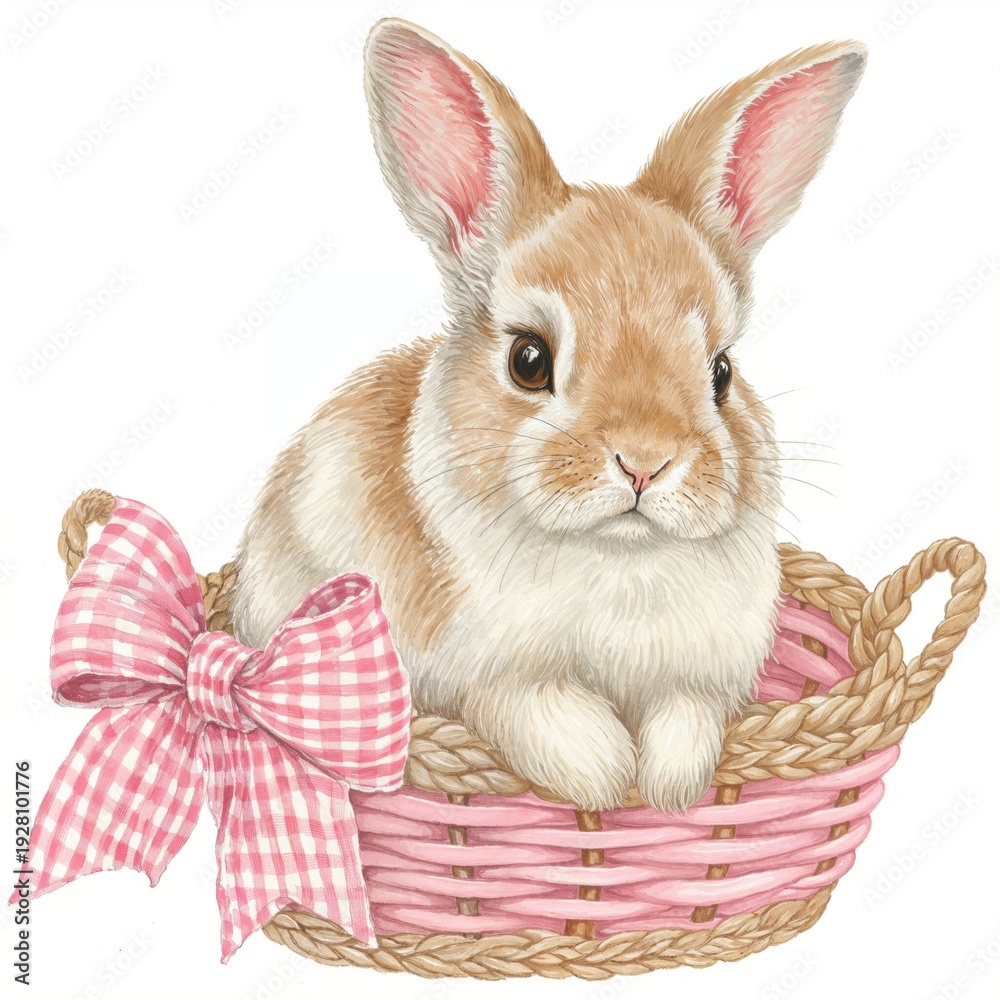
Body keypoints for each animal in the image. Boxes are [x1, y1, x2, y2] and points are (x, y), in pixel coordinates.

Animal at [230, 18, 866, 813]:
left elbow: (688, 712)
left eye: (721, 372)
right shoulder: (468, 679)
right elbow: (524, 703)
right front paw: (601, 772)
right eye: (528, 360)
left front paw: (670, 784)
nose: (644, 462)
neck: (617, 558)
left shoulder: (700, 678)